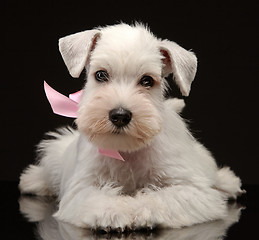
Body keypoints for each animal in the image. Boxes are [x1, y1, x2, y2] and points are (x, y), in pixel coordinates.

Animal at [18, 23, 244, 232]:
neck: (126, 151)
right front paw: (114, 212)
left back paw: (228, 182)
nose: (120, 116)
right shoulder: (82, 189)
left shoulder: (193, 190)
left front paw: (142, 210)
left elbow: (163, 198)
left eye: (147, 80)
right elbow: (98, 198)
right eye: (101, 75)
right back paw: (33, 180)